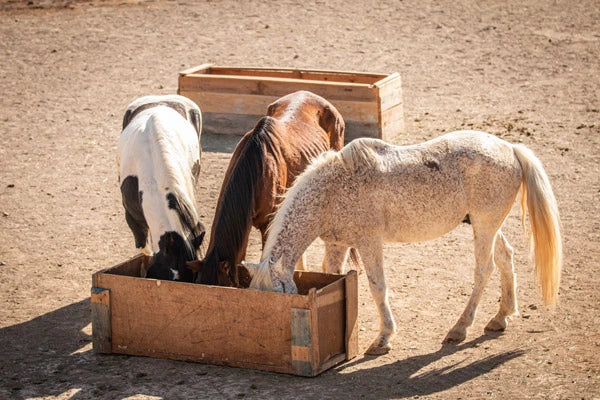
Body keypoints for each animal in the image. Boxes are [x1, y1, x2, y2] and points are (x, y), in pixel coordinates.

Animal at [244, 131, 564, 356]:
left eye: (280, 296)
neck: (331, 191)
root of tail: (510, 148)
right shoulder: (337, 244)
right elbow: (333, 277)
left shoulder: (369, 242)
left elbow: (377, 287)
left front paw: (383, 338)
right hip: (485, 225)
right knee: (505, 257)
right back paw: (501, 317)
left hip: (484, 226)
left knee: (484, 271)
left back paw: (459, 328)